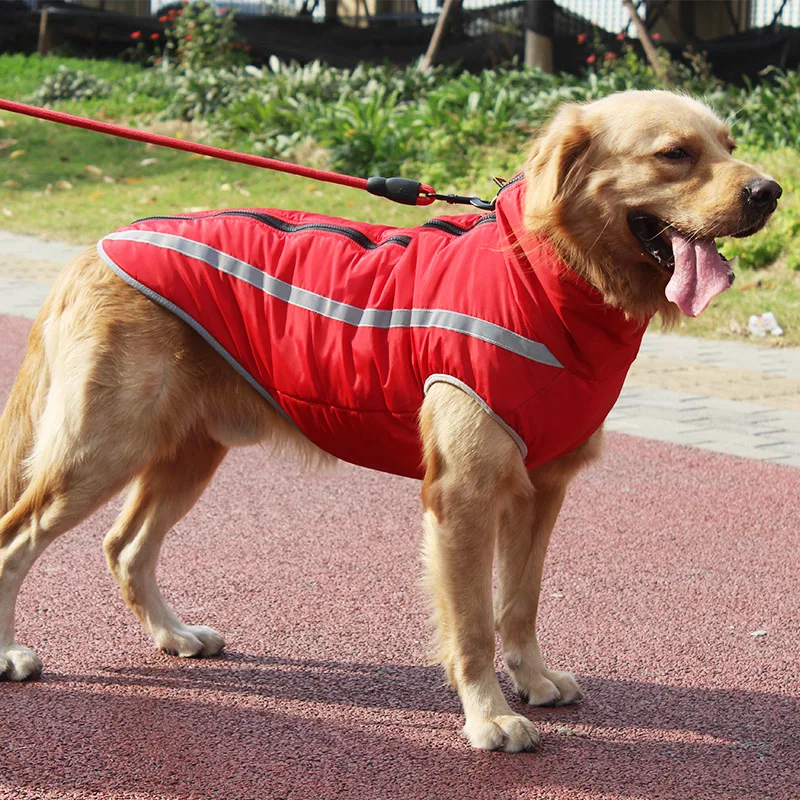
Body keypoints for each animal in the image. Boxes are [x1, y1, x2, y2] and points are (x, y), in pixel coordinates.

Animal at [0, 90, 780, 752]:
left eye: (731, 144)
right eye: (674, 153)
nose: (770, 192)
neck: (549, 271)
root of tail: (92, 247)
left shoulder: (542, 489)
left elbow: (519, 602)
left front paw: (531, 680)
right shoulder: (462, 496)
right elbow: (472, 625)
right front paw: (489, 717)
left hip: (188, 450)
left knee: (124, 545)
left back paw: (173, 634)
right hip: (99, 450)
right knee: (16, 539)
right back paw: (10, 652)